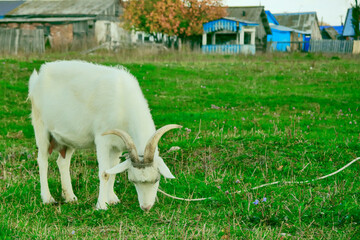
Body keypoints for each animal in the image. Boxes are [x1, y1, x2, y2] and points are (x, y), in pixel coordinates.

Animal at [28, 60, 181, 210]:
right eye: (133, 181)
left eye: (156, 179)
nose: (146, 207)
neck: (122, 100)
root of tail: (38, 77)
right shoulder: (102, 140)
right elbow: (104, 173)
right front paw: (102, 205)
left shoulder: (117, 145)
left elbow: (112, 172)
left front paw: (112, 200)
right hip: (40, 126)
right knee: (42, 161)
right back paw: (47, 198)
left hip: (68, 138)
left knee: (63, 162)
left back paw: (70, 197)